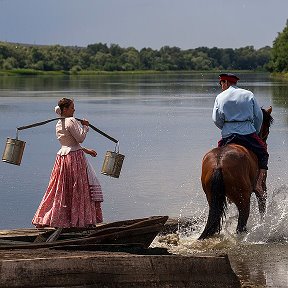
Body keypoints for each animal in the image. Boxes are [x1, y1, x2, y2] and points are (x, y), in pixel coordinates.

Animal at [199, 107, 274, 240]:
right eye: (267, 125)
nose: (264, 142)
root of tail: (219, 163)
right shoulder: (261, 187)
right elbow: (262, 207)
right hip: (243, 199)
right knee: (241, 224)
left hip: (211, 197)